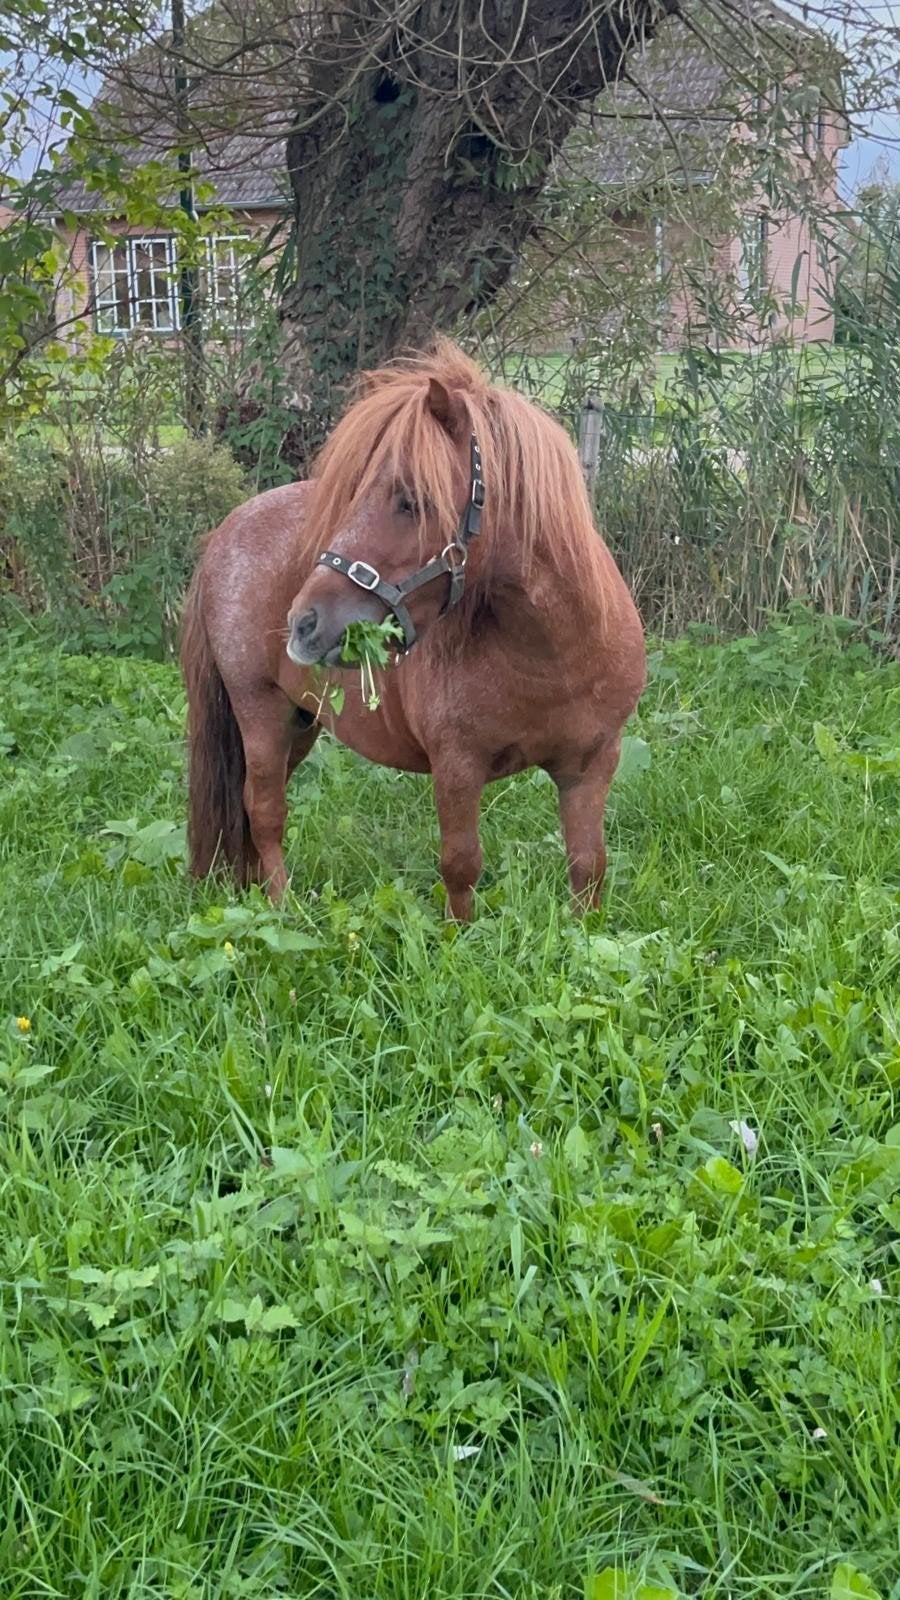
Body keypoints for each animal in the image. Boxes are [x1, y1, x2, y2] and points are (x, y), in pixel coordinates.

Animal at [180, 338, 646, 921]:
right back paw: (283, 909)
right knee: (264, 810)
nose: (304, 623)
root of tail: (226, 530)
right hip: (259, 709)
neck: (551, 656)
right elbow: (461, 867)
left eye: (411, 499)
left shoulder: (591, 765)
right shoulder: (457, 767)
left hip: (300, 720)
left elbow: (588, 866)